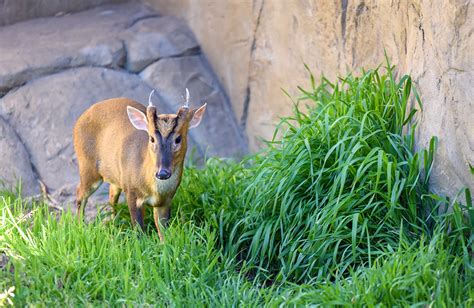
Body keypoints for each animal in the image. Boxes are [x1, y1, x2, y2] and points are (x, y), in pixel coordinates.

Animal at [73, 89, 206, 241]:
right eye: (152, 138)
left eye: (178, 139)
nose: (162, 173)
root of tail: (79, 119)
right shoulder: (132, 191)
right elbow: (139, 229)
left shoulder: (166, 200)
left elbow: (162, 229)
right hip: (87, 166)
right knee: (80, 194)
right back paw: (81, 227)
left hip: (116, 175)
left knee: (112, 195)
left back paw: (114, 223)